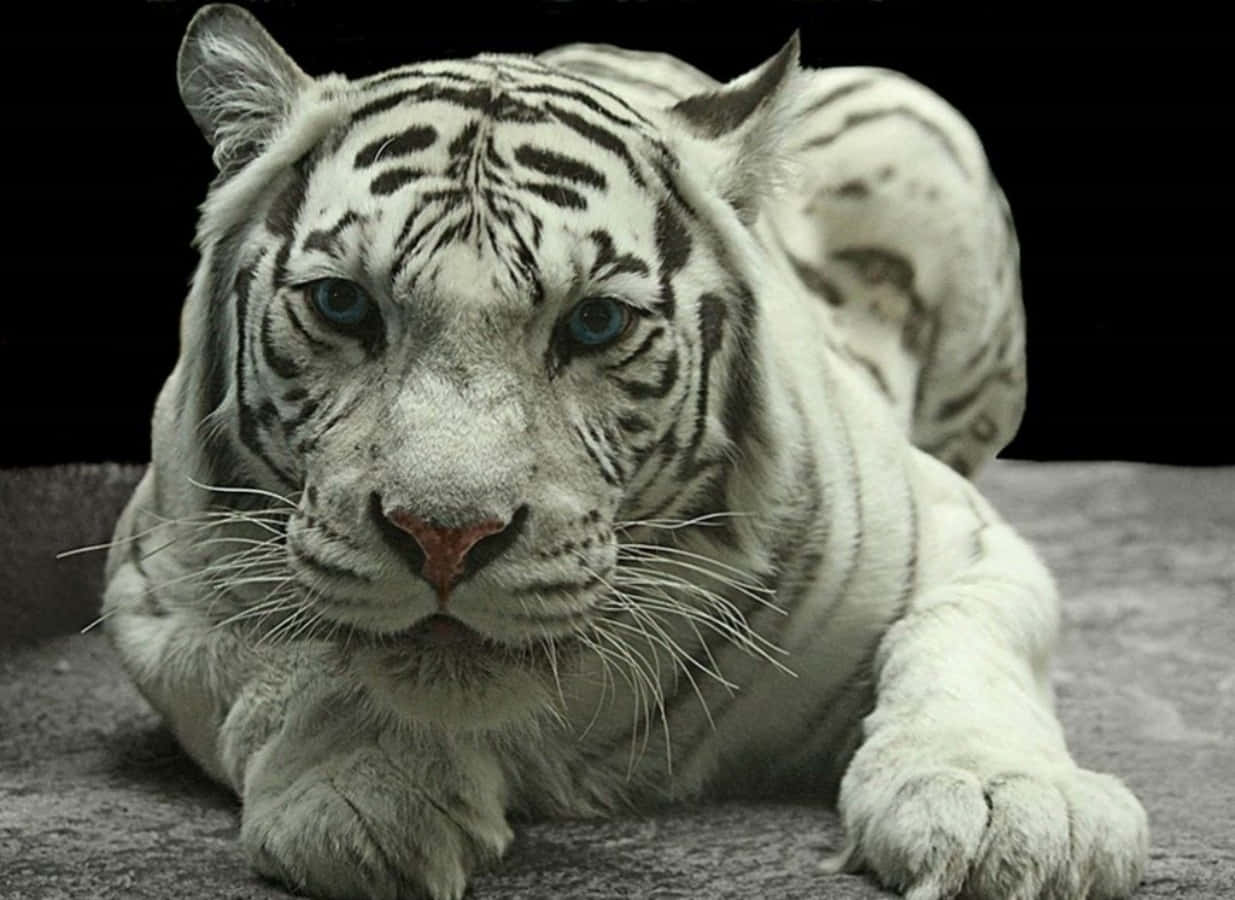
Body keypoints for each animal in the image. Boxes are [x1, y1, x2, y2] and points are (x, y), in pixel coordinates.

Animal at [101, 4, 1149, 899]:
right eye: (342, 303)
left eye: (595, 322)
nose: (445, 538)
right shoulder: (156, 580)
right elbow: (279, 657)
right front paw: (367, 793)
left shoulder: (959, 538)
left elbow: (961, 639)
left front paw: (1004, 808)